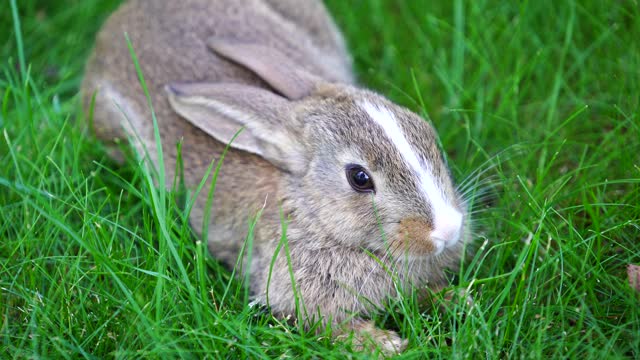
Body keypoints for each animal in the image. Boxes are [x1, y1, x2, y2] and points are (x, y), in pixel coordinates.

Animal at [81, 0, 470, 354]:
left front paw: (456, 299)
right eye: (359, 177)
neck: (309, 213)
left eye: (424, 131)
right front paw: (383, 343)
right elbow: (327, 325)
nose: (448, 230)